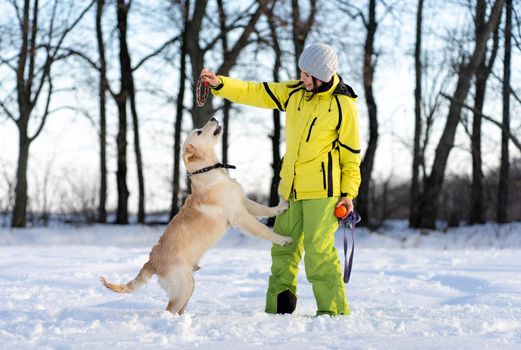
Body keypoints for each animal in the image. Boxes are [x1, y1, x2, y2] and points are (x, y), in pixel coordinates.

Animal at [99, 117, 290, 314]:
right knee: (170, 309)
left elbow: (263, 209)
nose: (213, 118)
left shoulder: (242, 202)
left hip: (189, 285)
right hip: (183, 286)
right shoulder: (238, 215)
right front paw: (283, 239)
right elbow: (262, 229)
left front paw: (280, 207)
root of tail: (151, 262)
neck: (209, 171)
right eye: (199, 132)